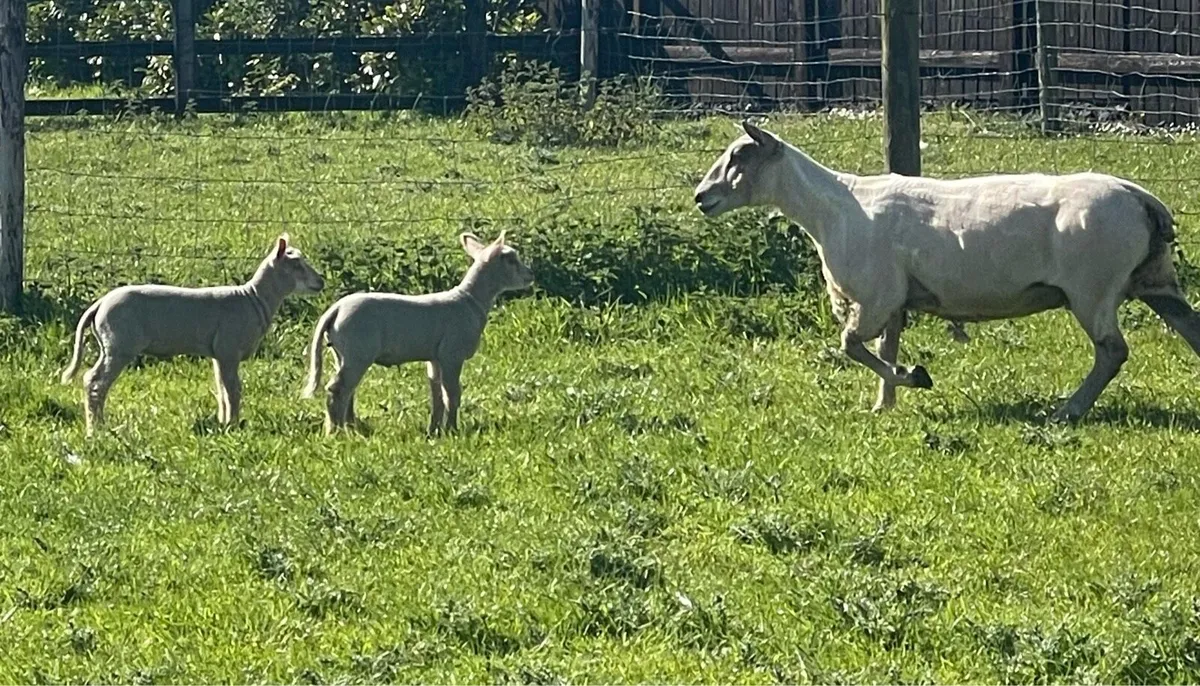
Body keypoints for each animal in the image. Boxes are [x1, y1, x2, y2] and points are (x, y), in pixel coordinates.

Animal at [60, 234, 326, 435]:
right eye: (297, 265)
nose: (321, 282)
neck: (253, 299)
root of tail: (99, 304)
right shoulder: (229, 349)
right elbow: (234, 390)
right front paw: (233, 425)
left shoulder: (219, 353)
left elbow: (222, 390)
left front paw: (223, 422)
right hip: (120, 345)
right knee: (95, 381)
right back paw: (96, 428)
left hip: (111, 345)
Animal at [302, 231, 534, 436]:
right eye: (511, 259)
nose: (530, 276)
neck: (470, 301)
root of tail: (335, 309)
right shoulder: (452, 354)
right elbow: (452, 394)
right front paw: (452, 429)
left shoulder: (435, 358)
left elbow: (437, 394)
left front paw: (435, 430)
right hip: (358, 350)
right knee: (337, 389)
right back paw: (335, 432)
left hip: (342, 353)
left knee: (348, 390)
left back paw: (351, 428)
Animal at [694, 121, 1200, 422]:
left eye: (739, 156)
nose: (701, 197)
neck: (833, 208)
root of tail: (1142, 198)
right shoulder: (894, 299)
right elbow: (883, 347)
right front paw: (885, 404)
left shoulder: (876, 295)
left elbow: (851, 346)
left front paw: (915, 377)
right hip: (1155, 280)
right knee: (1189, 330)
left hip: (1092, 287)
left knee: (1112, 351)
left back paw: (1067, 412)